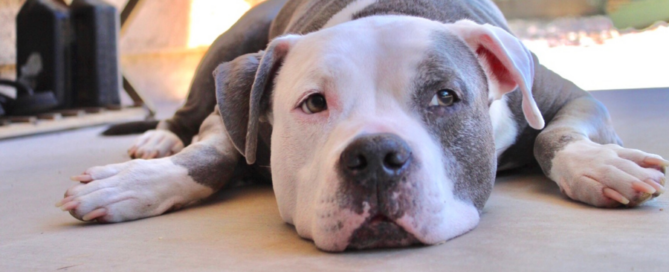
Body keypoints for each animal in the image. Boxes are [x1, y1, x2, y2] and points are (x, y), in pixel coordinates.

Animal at [56, 0, 664, 252]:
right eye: (313, 103)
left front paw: (602, 166)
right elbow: (213, 153)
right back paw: (155, 139)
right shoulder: (230, 114)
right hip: (230, 49)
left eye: (446, 97)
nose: (375, 158)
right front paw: (138, 184)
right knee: (185, 110)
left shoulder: (571, 98)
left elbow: (556, 136)